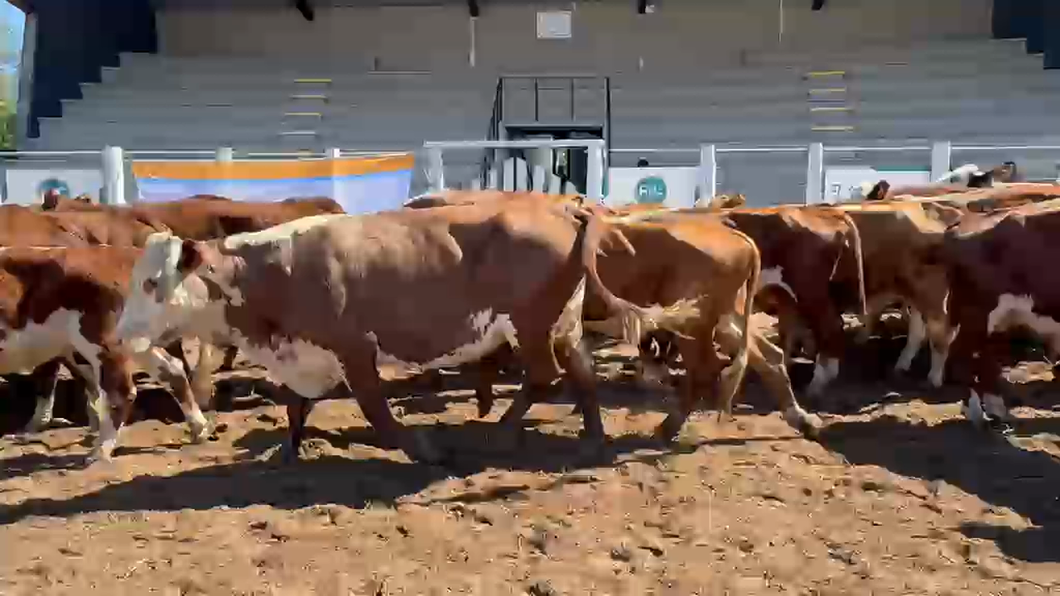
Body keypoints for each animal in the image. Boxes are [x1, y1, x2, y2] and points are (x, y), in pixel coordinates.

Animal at [0, 246, 214, 461]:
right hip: (134, 339)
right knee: (173, 370)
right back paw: (200, 429)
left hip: (102, 339)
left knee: (121, 392)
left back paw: (99, 451)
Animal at [112, 197, 697, 462]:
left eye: (152, 283)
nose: (119, 336)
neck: (275, 269)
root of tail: (558, 207)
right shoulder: (306, 354)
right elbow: (296, 406)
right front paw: (287, 452)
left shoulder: (353, 348)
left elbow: (375, 409)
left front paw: (420, 448)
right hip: (564, 324)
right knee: (581, 373)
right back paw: (592, 438)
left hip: (531, 325)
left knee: (543, 376)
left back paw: (503, 430)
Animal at [935, 198, 1060, 431]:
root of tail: (963, 222)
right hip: (978, 310)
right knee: (963, 353)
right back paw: (977, 413)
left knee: (982, 354)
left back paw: (995, 409)